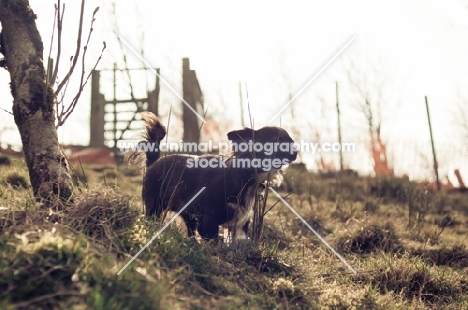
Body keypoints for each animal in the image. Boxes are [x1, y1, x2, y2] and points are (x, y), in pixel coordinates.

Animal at [138, 112, 296, 241]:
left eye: (291, 141)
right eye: (278, 141)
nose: (296, 151)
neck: (246, 177)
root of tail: (154, 163)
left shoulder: (241, 225)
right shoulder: (208, 220)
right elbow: (213, 240)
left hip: (187, 213)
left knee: (190, 230)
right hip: (154, 207)